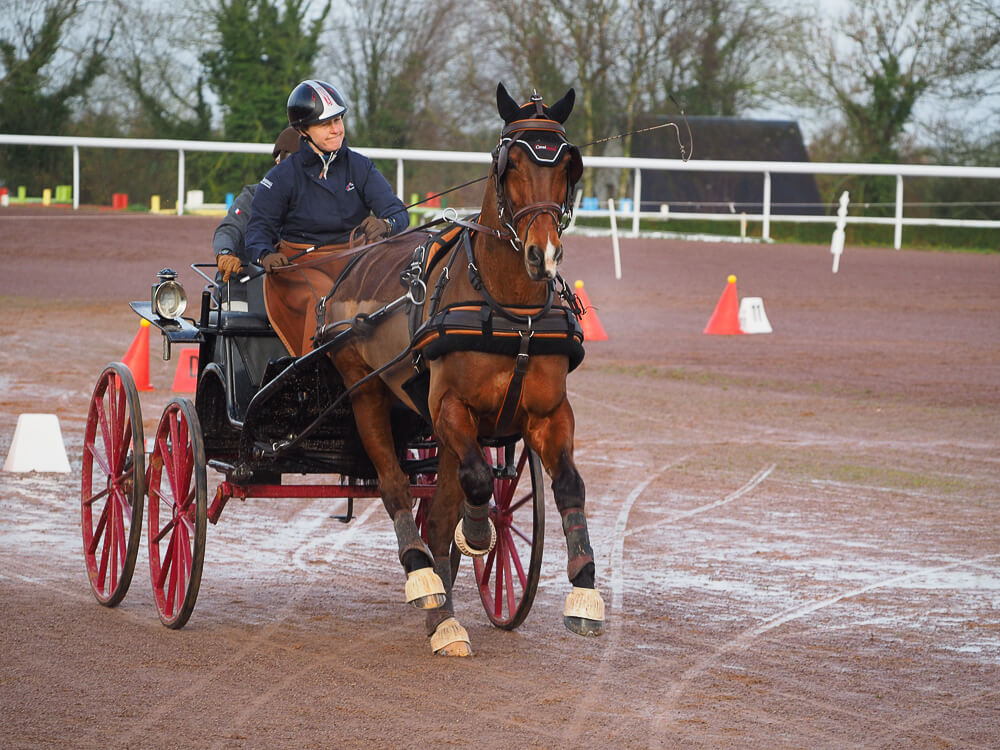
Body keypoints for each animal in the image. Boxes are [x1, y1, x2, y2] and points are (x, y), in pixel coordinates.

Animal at [270, 83, 604, 656]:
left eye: (568, 164)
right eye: (509, 163)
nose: (542, 255)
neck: (509, 311)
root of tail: (353, 257)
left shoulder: (547, 413)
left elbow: (567, 486)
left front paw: (584, 587)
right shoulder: (450, 406)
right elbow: (476, 482)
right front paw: (478, 535)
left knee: (441, 505)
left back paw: (443, 612)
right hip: (366, 394)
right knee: (396, 487)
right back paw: (424, 579)